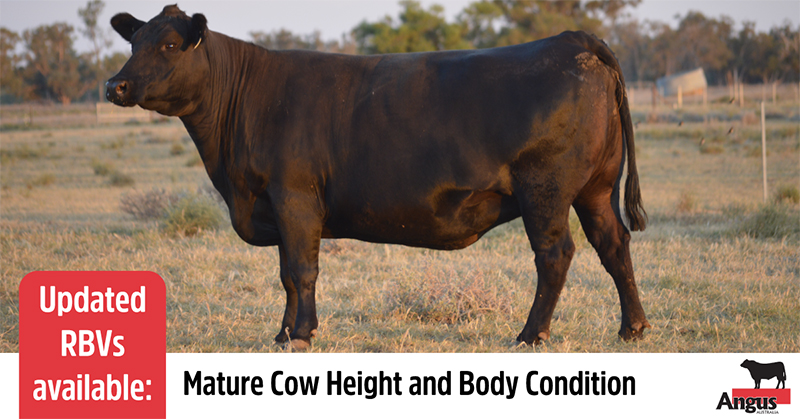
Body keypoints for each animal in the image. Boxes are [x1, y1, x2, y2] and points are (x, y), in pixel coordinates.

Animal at [106, 5, 649, 349]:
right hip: (596, 189)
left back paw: (530, 335)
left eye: (170, 43)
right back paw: (633, 329)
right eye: (133, 41)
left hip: (545, 190)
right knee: (614, 245)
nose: (116, 84)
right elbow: (285, 274)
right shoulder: (276, 207)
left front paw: (300, 335)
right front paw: (281, 334)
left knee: (555, 256)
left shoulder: (294, 197)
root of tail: (573, 39)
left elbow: (301, 270)